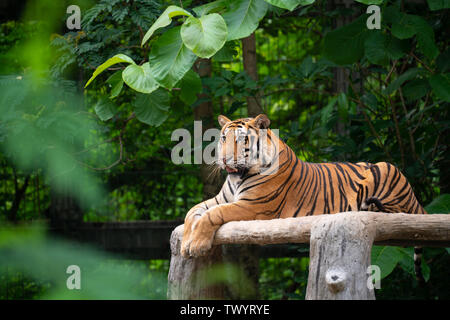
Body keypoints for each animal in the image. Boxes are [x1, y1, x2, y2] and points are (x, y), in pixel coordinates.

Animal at [181, 114, 428, 282]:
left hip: (386, 169)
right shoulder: (220, 199)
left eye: (242, 140)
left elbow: (213, 214)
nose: (223, 160)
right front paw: (184, 244)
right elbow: (191, 213)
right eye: (223, 138)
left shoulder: (254, 206)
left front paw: (197, 245)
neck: (238, 177)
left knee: (396, 212)